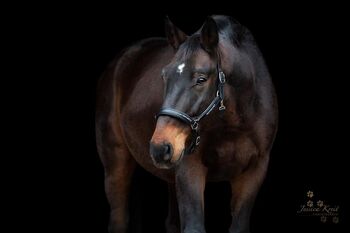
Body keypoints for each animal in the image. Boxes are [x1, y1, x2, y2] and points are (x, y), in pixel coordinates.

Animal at [96, 15, 278, 233]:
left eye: (201, 79)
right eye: (164, 76)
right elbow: (194, 226)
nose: (160, 147)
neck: (233, 124)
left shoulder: (254, 172)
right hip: (116, 163)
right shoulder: (189, 168)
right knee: (118, 219)